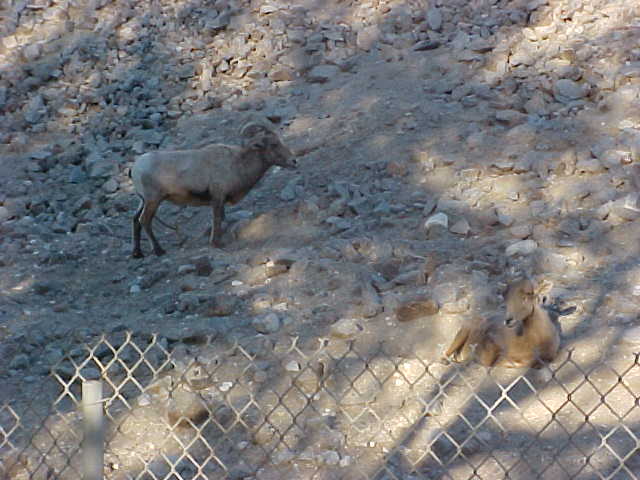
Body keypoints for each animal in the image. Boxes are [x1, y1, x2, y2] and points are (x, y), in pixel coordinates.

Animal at [130, 121, 297, 257]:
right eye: (274, 144)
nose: (293, 161)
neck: (237, 164)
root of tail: (135, 168)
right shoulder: (217, 198)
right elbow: (216, 219)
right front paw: (216, 243)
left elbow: (221, 219)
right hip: (153, 201)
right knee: (144, 221)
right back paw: (159, 251)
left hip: (143, 201)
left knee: (135, 220)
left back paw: (138, 254)